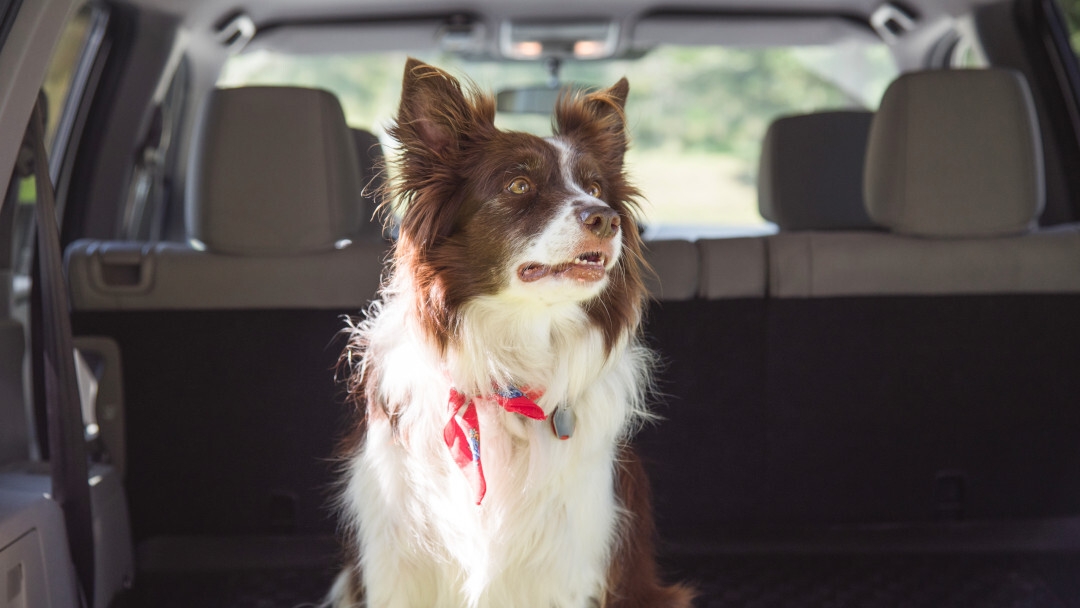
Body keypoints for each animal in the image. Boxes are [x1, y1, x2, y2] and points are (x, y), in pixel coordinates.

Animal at [332, 58, 695, 608]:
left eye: (596, 188)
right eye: (519, 186)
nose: (606, 218)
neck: (507, 372)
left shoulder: (566, 565)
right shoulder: (394, 564)